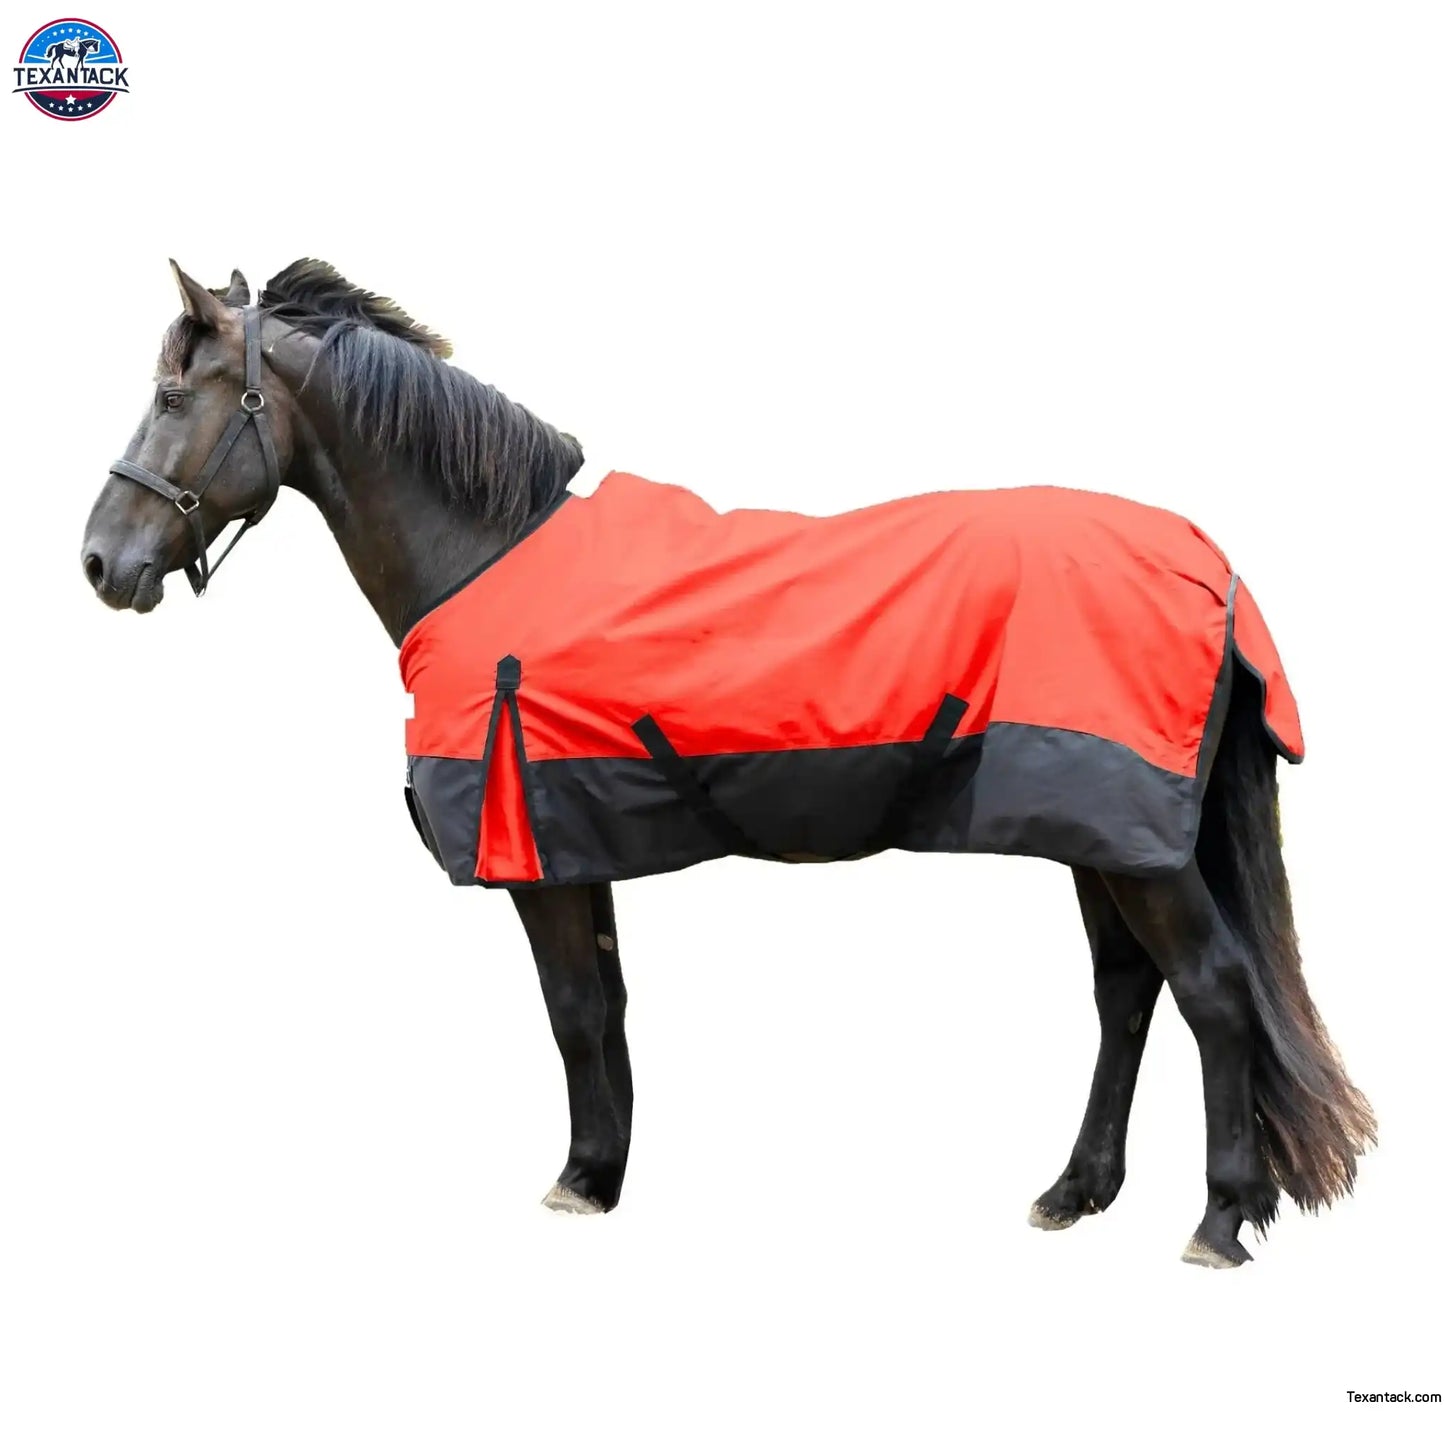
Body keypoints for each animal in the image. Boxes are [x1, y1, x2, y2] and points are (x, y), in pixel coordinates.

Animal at [79, 259, 1376, 1267]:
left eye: (170, 395)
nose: (99, 561)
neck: (486, 552)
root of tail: (1206, 562)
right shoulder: (574, 842)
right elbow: (602, 1007)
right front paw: (602, 1170)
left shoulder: (537, 854)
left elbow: (571, 1009)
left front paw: (577, 1179)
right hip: (1096, 836)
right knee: (1125, 993)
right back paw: (1074, 1191)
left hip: (1134, 846)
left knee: (1211, 991)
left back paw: (1216, 1219)